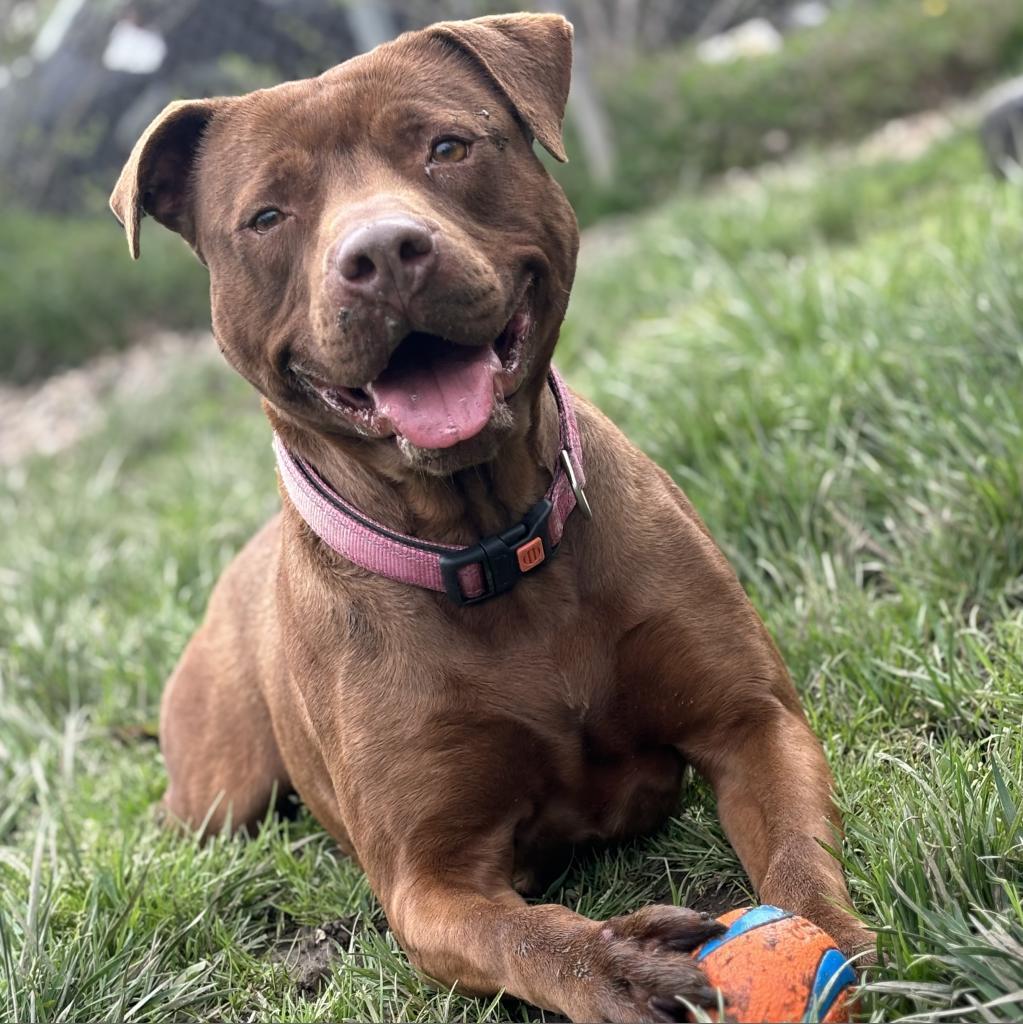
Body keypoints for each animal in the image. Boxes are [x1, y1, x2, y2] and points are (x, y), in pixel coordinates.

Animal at [110, 12, 864, 1019]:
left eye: (445, 147)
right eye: (268, 216)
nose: (382, 253)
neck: (488, 543)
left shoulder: (752, 723)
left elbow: (795, 853)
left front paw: (831, 943)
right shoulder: (429, 880)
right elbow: (525, 934)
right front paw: (619, 966)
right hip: (217, 796)